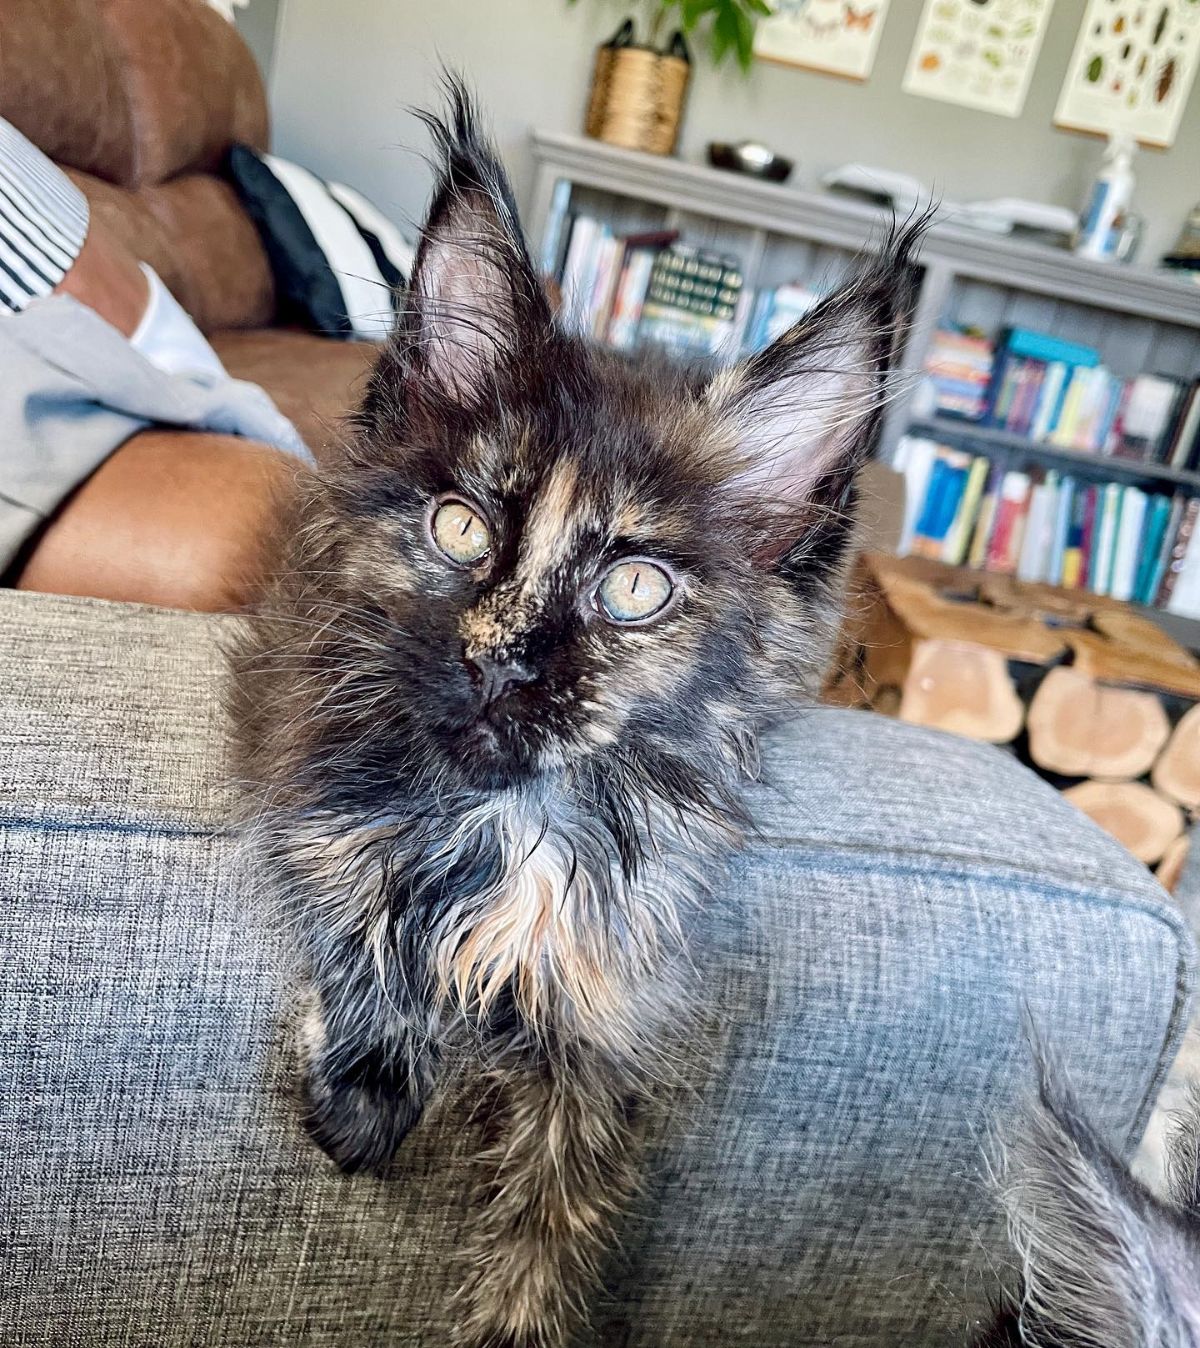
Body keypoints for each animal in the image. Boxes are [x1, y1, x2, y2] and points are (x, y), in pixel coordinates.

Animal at [233, 86, 922, 1348]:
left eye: (635, 589)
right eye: (461, 528)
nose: (498, 660)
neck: (512, 825)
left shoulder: (614, 1011)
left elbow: (547, 1244)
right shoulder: (300, 728)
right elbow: (356, 878)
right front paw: (366, 1085)